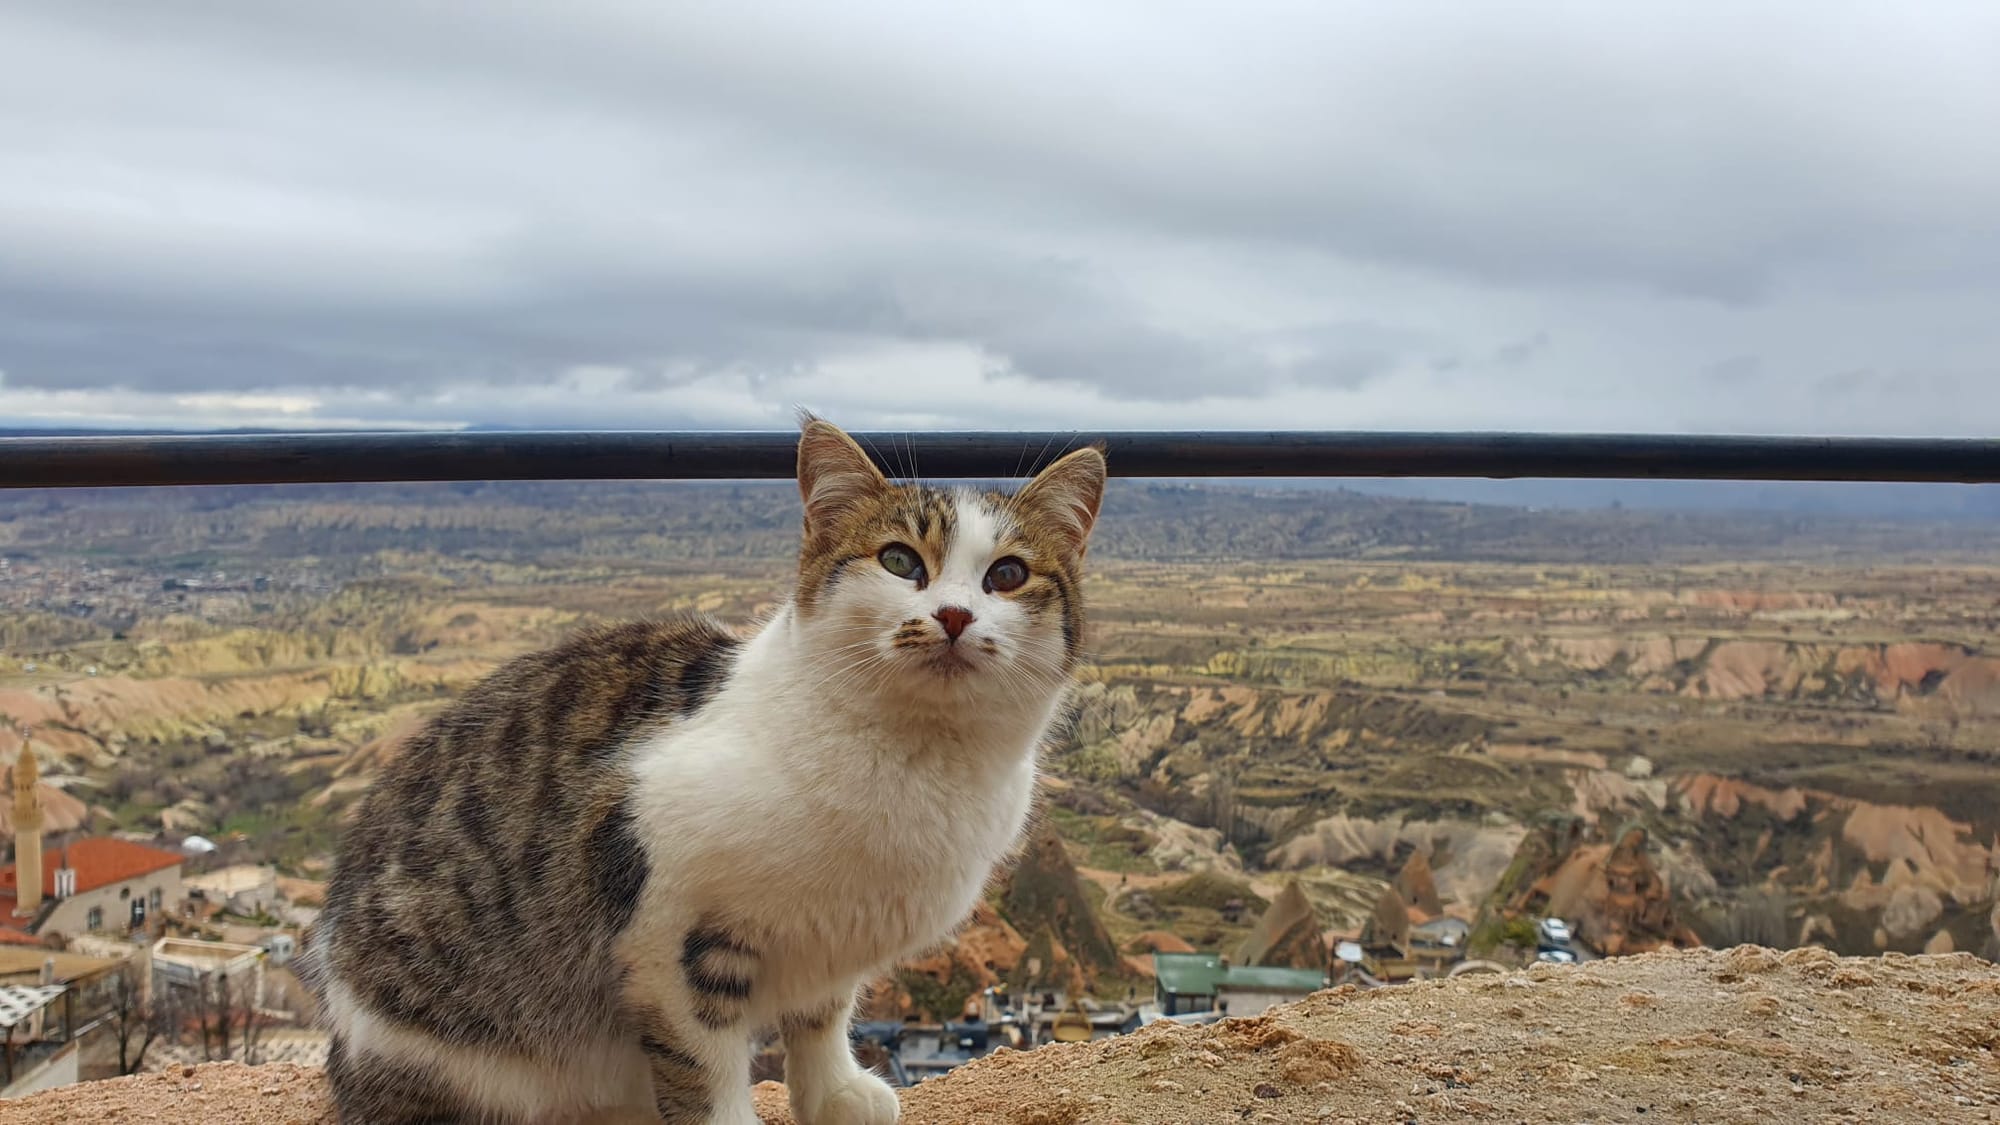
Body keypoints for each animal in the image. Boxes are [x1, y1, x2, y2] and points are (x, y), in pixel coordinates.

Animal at [308, 416, 1112, 1112]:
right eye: (899, 561)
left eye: (1007, 575)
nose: (953, 616)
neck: (918, 758)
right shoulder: (668, 939)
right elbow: (704, 1073)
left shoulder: (833, 941)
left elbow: (821, 1020)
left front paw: (834, 1095)